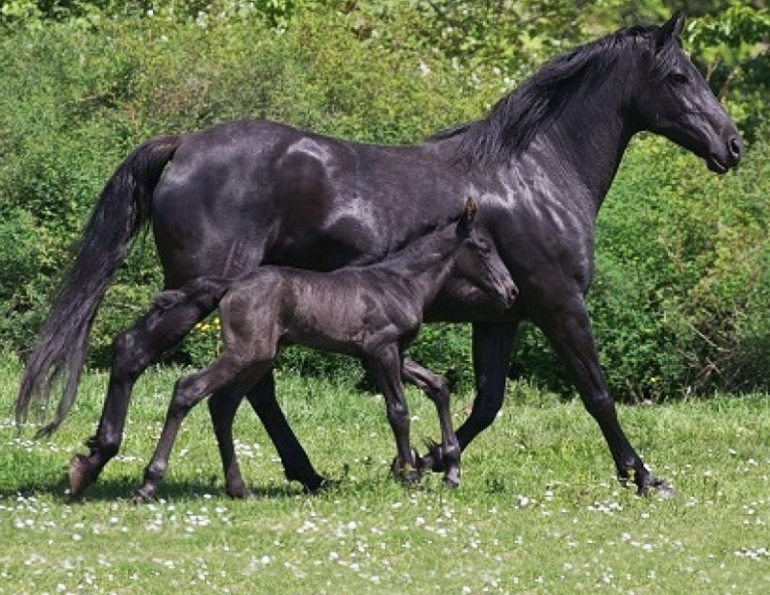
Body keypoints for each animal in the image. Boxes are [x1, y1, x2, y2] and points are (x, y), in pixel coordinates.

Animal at [131, 199, 517, 500]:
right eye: (484, 247)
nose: (511, 291)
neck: (401, 283)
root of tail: (230, 284)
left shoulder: (388, 353)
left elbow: (438, 386)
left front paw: (449, 468)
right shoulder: (381, 349)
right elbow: (399, 411)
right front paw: (409, 474)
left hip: (259, 357)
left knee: (223, 404)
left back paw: (239, 488)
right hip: (245, 353)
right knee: (188, 388)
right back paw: (148, 485)